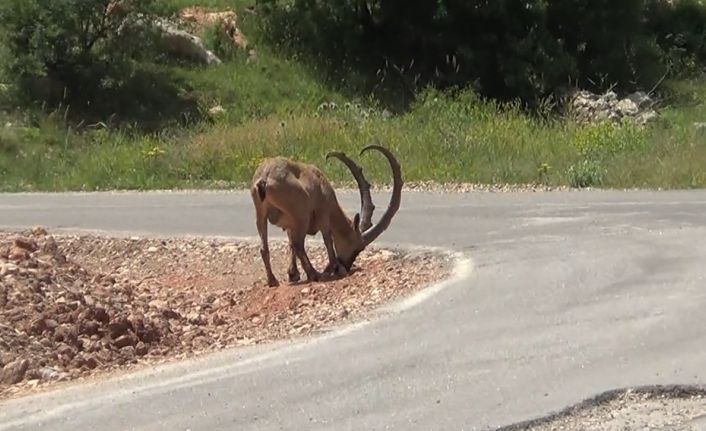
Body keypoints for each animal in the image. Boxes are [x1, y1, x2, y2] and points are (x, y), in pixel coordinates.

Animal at [249, 145, 402, 286]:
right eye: (358, 248)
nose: (346, 265)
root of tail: (265, 179)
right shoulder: (323, 214)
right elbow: (327, 239)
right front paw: (336, 268)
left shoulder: (290, 224)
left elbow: (291, 243)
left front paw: (293, 274)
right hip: (301, 215)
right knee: (299, 244)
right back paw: (314, 274)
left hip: (261, 214)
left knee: (265, 247)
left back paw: (273, 280)